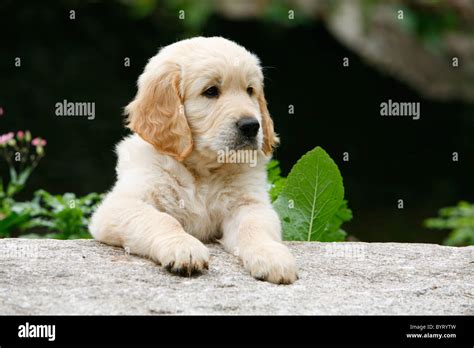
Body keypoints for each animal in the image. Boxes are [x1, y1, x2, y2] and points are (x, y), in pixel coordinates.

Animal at [89, 36, 296, 284]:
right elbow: (161, 219)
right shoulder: (119, 205)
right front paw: (183, 247)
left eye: (250, 90)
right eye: (211, 91)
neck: (202, 170)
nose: (251, 126)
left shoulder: (249, 204)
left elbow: (254, 226)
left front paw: (271, 255)